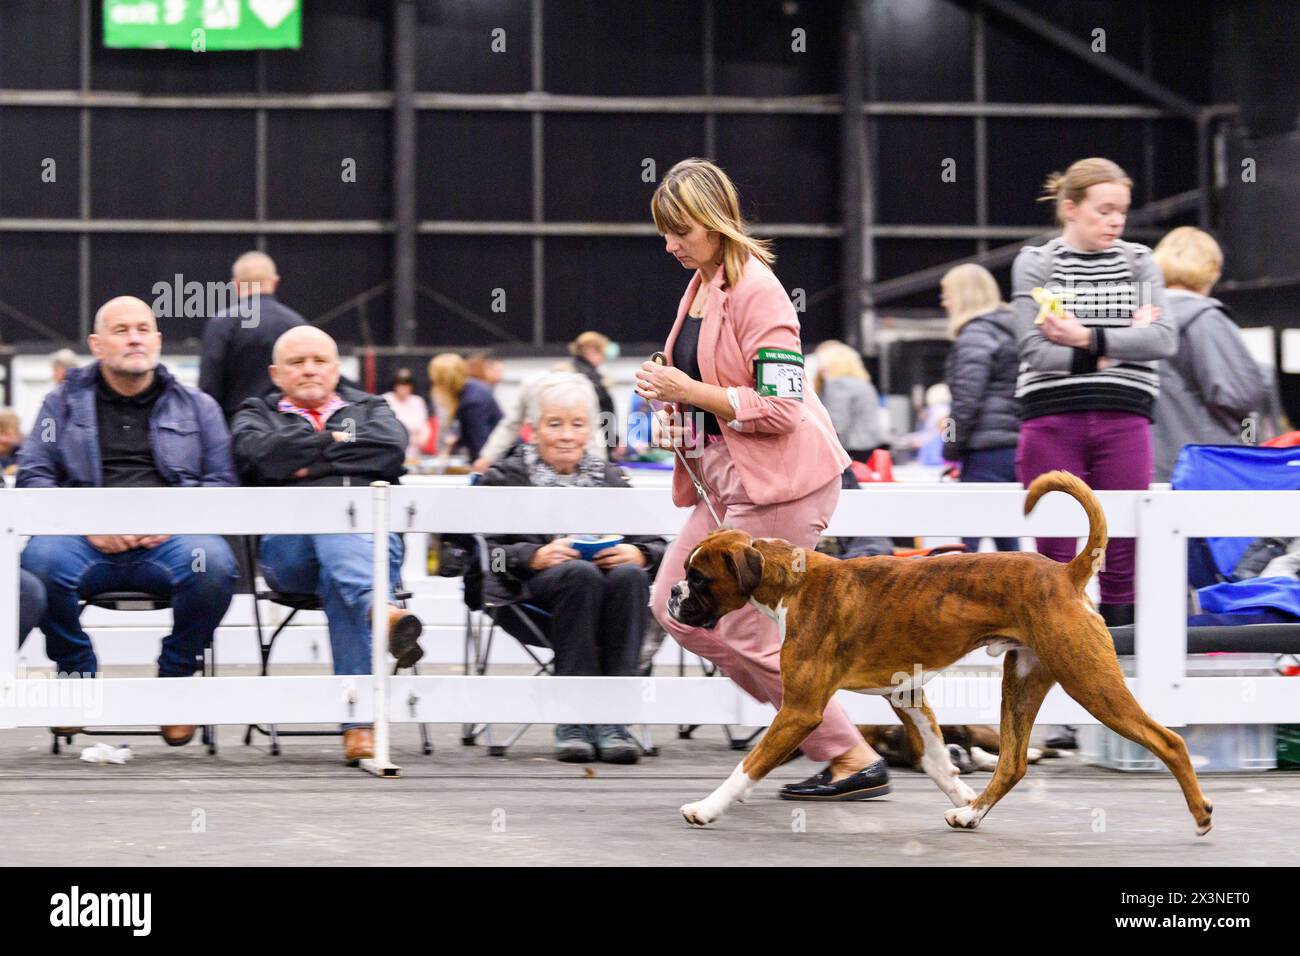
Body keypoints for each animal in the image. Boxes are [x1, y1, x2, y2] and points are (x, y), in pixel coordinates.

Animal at [670, 470, 1216, 837]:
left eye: (699, 578)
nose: (673, 594)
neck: (793, 582)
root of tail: (1066, 573)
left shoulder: (800, 710)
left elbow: (750, 764)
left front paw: (706, 807)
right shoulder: (905, 696)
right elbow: (934, 758)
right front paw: (959, 789)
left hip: (1091, 683)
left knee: (1169, 740)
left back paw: (1200, 814)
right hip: (1022, 683)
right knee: (1012, 762)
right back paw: (972, 812)